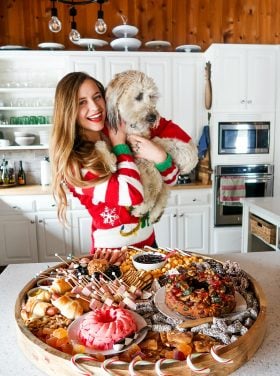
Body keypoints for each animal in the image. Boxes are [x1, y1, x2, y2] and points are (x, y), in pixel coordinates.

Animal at [104, 70, 197, 223]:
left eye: (152, 96)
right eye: (139, 96)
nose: (153, 117)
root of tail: (194, 159)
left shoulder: (143, 150)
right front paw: (108, 160)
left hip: (161, 144)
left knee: (158, 187)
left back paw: (145, 209)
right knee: (163, 189)